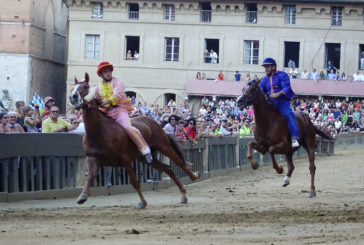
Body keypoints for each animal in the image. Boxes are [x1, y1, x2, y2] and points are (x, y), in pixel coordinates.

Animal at [68, 73, 199, 209]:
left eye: (85, 87)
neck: (99, 132)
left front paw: (142, 202)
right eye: (72, 88)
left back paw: (193, 177)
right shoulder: (92, 158)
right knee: (168, 168)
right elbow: (89, 177)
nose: (72, 97)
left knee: (179, 162)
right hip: (147, 158)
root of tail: (155, 123)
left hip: (163, 145)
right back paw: (183, 195)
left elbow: (134, 182)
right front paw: (82, 196)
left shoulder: (125, 159)